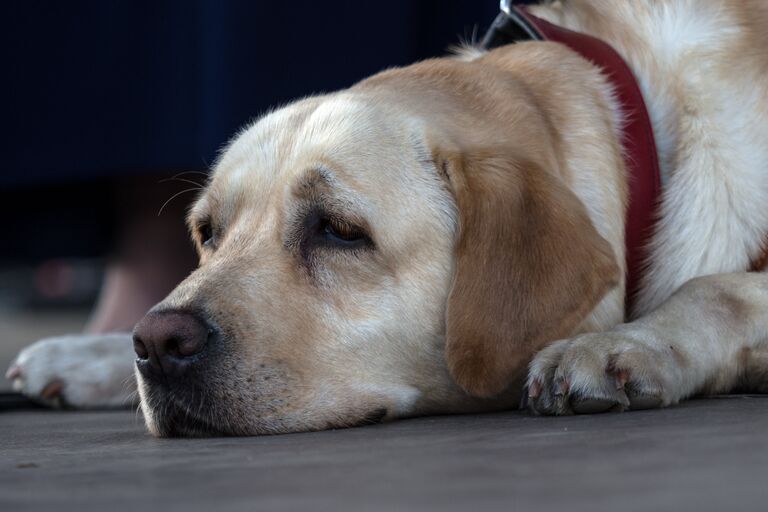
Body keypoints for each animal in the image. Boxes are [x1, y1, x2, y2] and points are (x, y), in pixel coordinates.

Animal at [7, 0, 768, 436]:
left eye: (340, 232)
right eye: (208, 234)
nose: (157, 343)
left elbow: (716, 288)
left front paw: (629, 345)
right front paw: (84, 355)